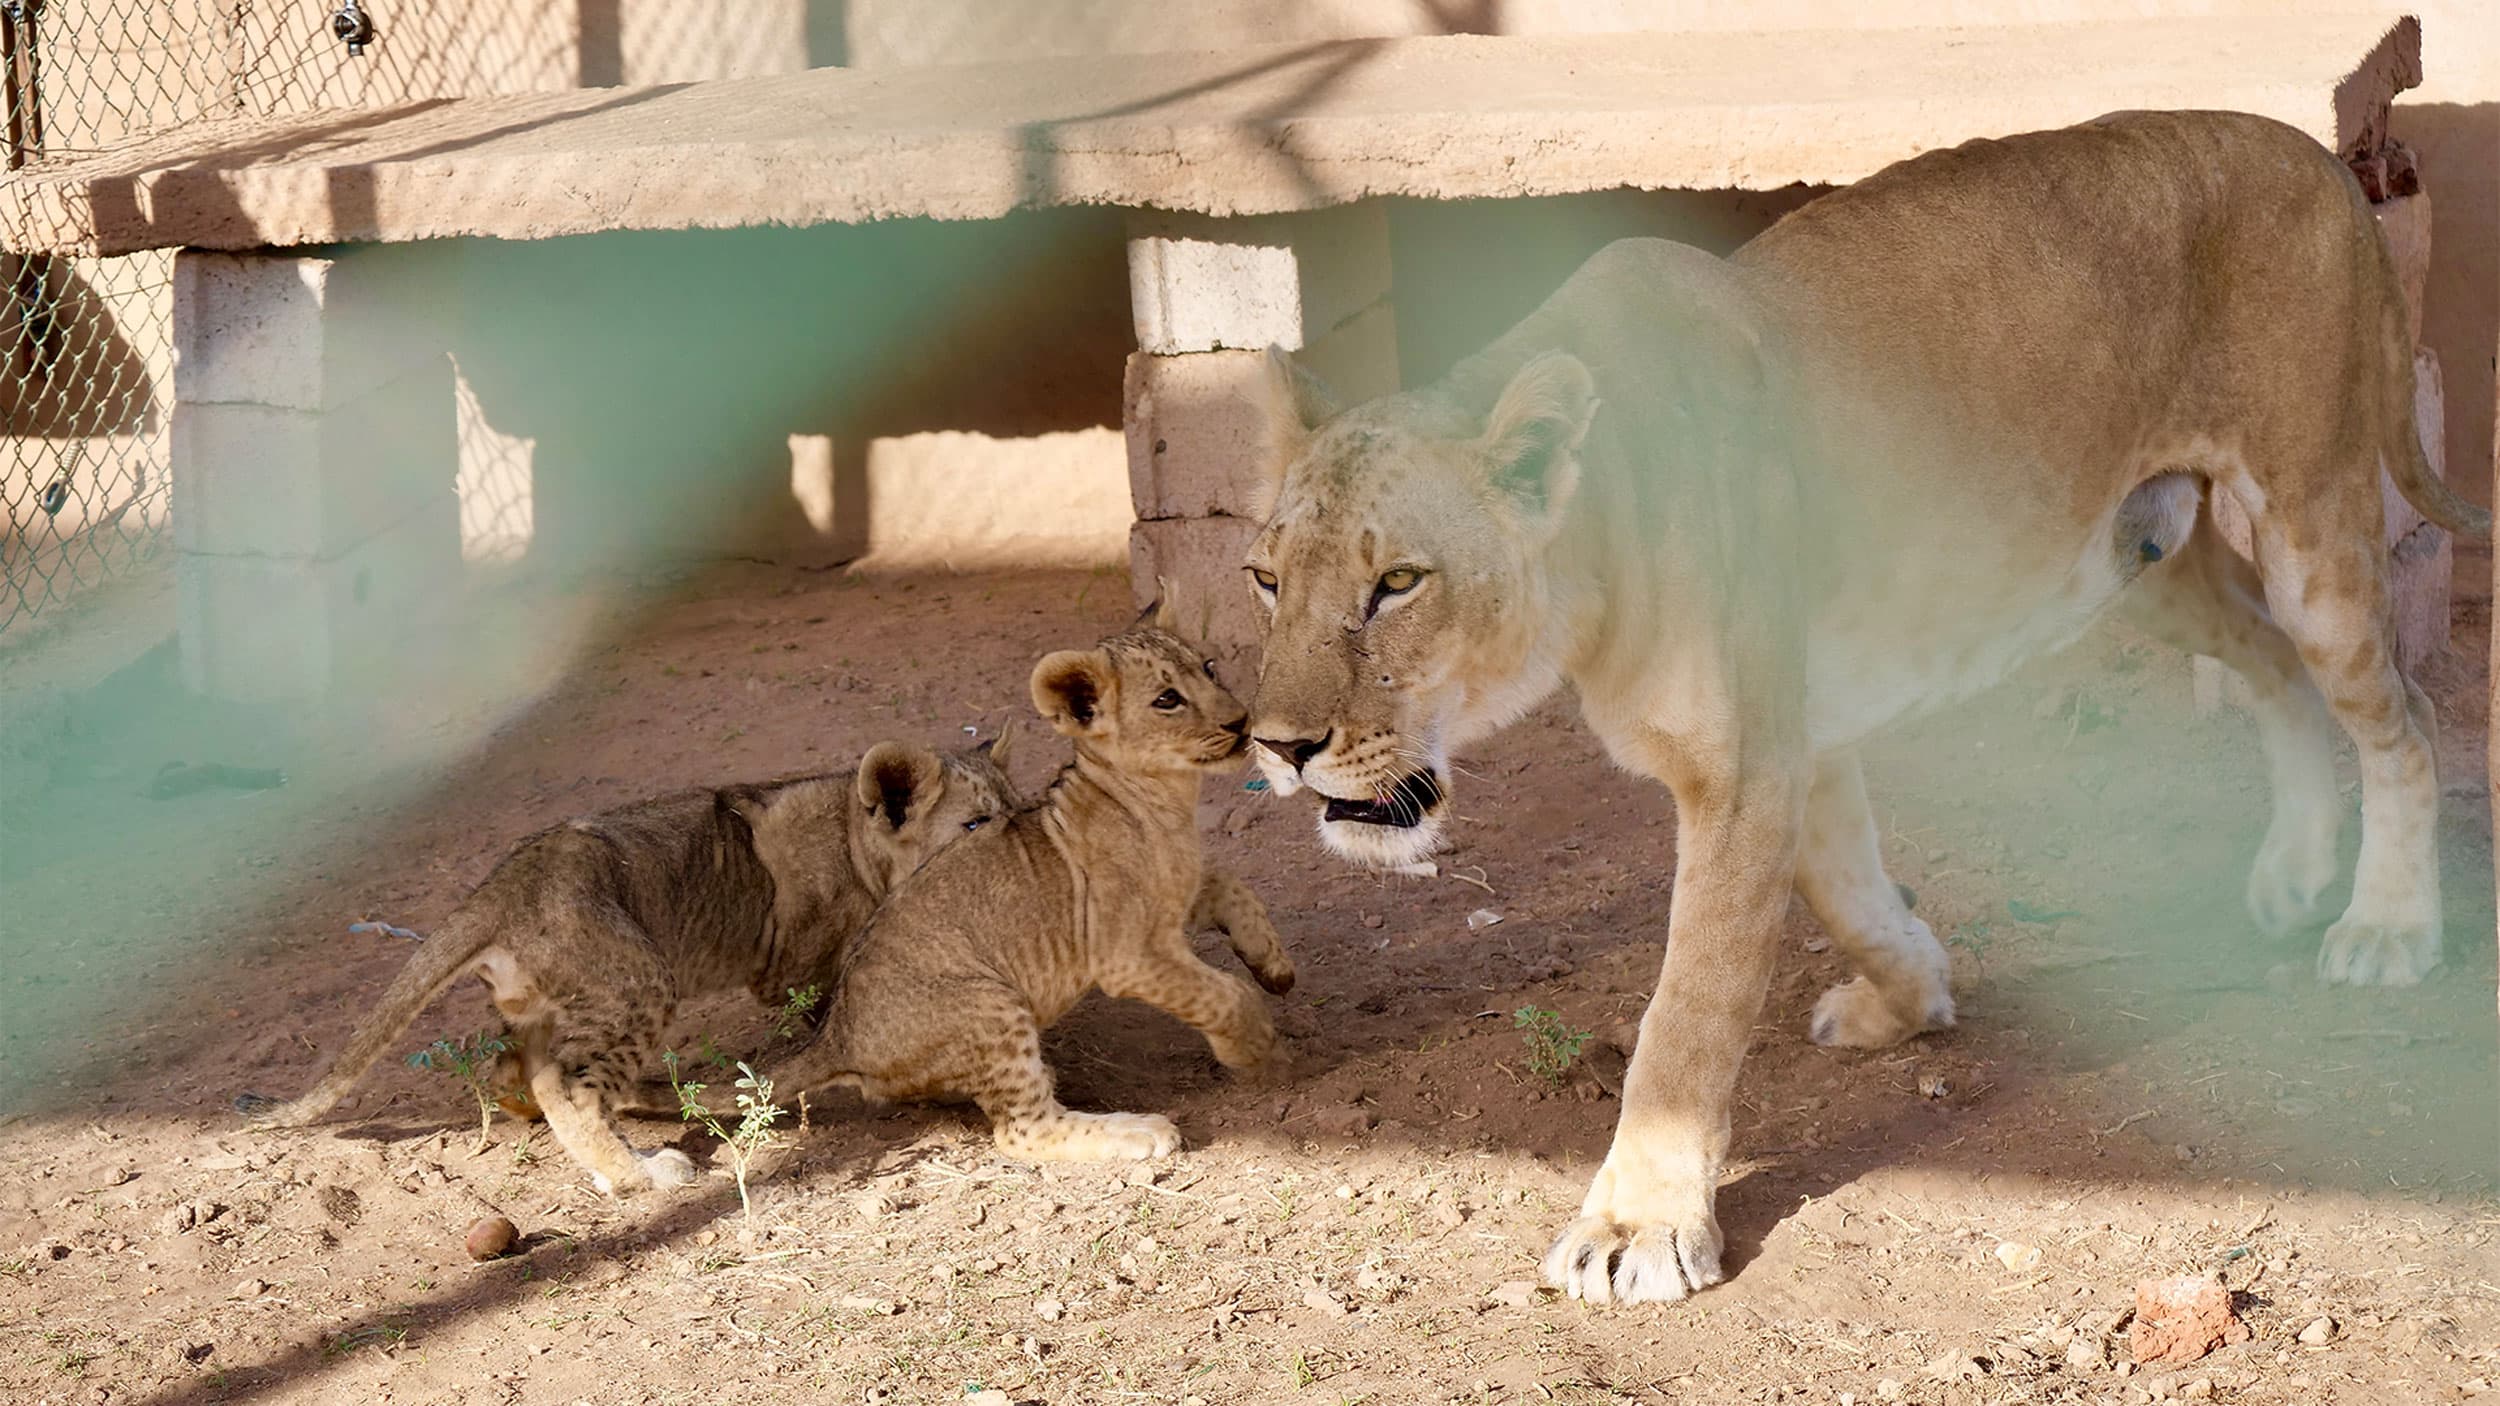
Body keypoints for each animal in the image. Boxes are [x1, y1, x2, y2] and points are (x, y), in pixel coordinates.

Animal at [239, 738, 1016, 1194]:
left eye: (1011, 808)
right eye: (975, 823)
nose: (1022, 841)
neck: (858, 841)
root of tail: (502, 887)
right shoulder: (798, 967)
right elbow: (839, 1016)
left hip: (552, 1002)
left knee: (515, 1068)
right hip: (639, 979)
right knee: (567, 1085)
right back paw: (640, 1173)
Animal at [766, 600, 1295, 1163]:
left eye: (1210, 668)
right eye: (1167, 699)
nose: (1241, 722)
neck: (1167, 799)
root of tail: (837, 1036)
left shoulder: (1180, 893)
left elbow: (1234, 887)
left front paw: (1273, 966)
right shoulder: (1127, 958)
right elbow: (1221, 995)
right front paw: (1257, 1047)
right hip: (992, 1007)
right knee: (1023, 1130)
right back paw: (1138, 1131)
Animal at [1239, 110, 2485, 1306]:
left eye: (1398, 582)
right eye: (1264, 578)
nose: (1280, 747)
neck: (1593, 557)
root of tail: (2311, 152)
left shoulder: (1742, 768)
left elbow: (1686, 1010)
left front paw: (1636, 1227)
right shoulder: (1798, 736)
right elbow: (1843, 888)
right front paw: (1912, 994)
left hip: (2310, 520)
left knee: (2402, 711)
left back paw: (2386, 926)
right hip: (2145, 563)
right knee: (2275, 669)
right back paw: (2295, 873)